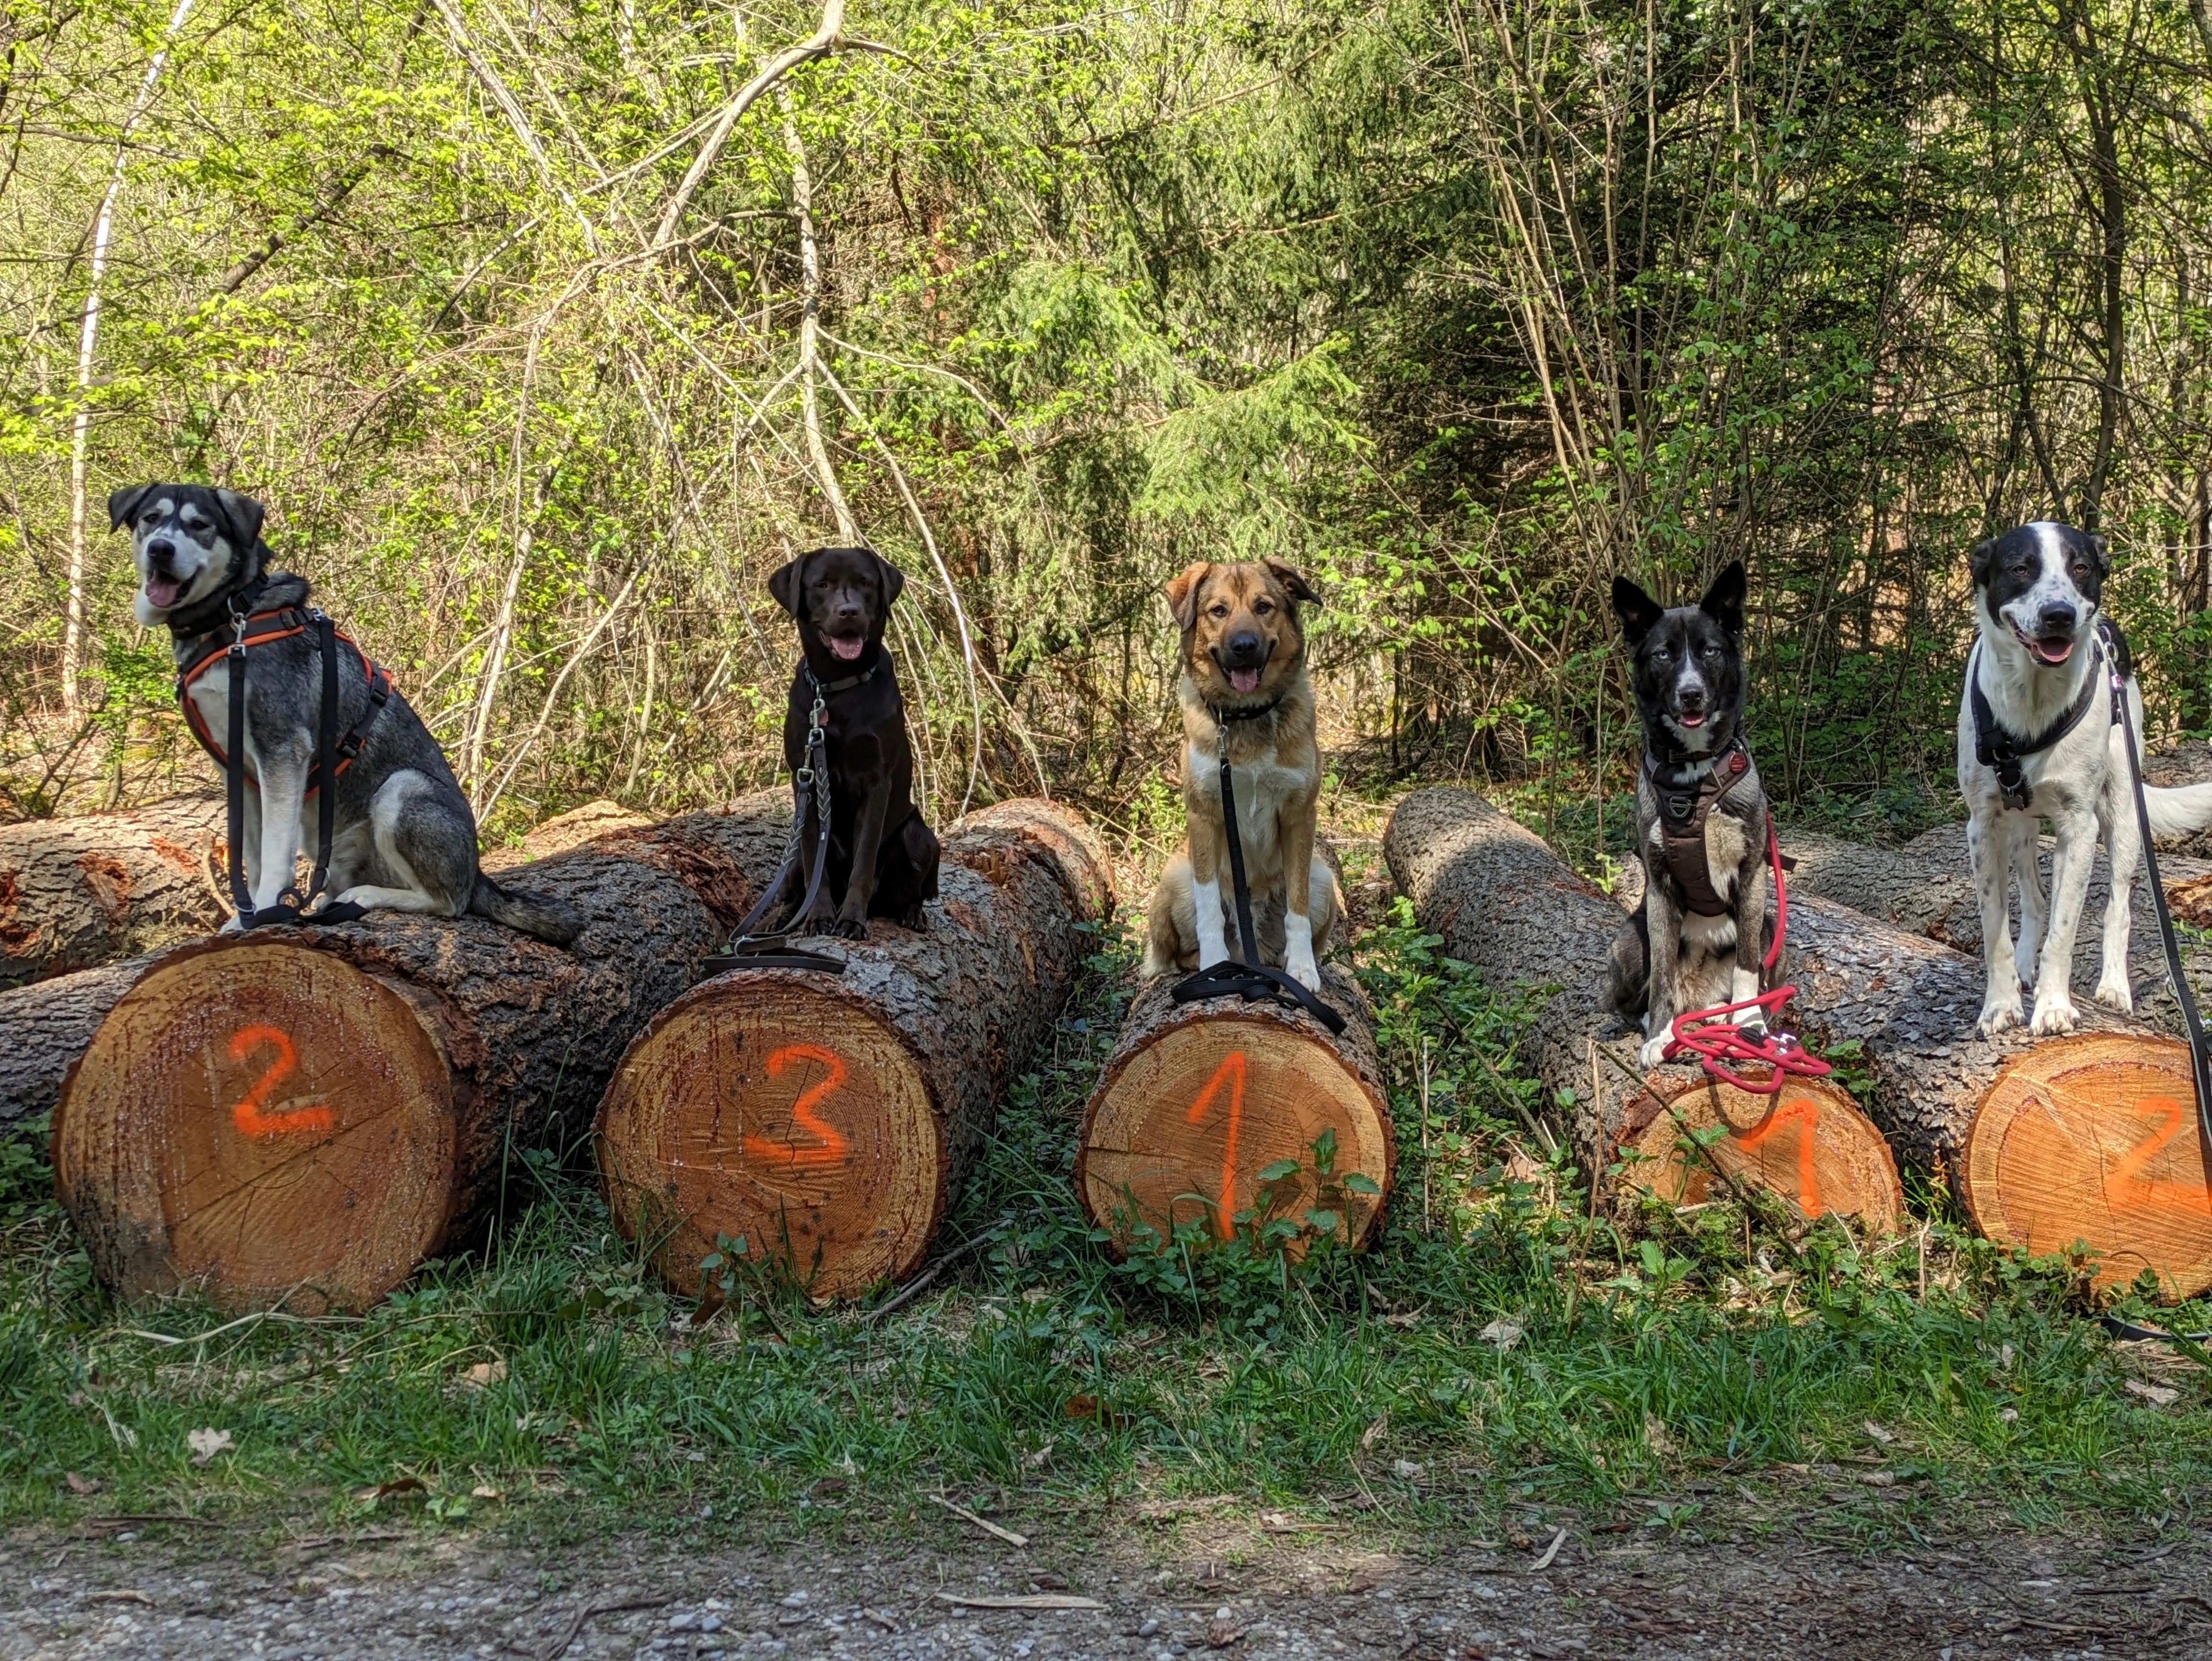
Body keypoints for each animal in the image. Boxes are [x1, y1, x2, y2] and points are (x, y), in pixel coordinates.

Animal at [113, 487, 584, 942]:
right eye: (151, 519)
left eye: (200, 525)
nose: (160, 550)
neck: (233, 619)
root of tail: (477, 873)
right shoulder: (238, 773)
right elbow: (254, 858)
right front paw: (244, 919)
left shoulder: (282, 749)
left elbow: (275, 854)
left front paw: (264, 914)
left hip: (402, 790)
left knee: (448, 902)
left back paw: (366, 896)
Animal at [1150, 566, 1336, 995]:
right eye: (1218, 611)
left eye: (1263, 607)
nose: (1244, 647)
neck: (1246, 714)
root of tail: (1250, 952)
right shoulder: (1205, 815)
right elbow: (1208, 910)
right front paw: (1213, 964)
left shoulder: (1300, 815)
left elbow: (1297, 907)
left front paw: (1302, 967)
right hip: (1175, 879)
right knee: (1180, 954)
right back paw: (1214, 963)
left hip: (1325, 879)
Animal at [1610, 566, 1778, 1070]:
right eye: (1664, 654)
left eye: (1709, 650)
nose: (1690, 695)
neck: (1694, 775)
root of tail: (1697, 998)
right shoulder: (1660, 888)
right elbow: (1663, 972)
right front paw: (1659, 1037)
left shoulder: (1752, 876)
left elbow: (1747, 968)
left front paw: (1750, 1026)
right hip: (1626, 941)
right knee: (1634, 999)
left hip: (1770, 928)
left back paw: (1724, 1017)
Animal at [1955, 526, 2212, 1035]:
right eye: (2020, 568)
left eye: (2081, 568)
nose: (2060, 614)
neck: (2033, 702)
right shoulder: (1983, 825)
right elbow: (1996, 927)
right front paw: (2001, 1004)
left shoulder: (2080, 826)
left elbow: (2065, 929)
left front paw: (2054, 1006)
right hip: (2022, 827)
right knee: (2034, 900)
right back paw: (2025, 965)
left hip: (2123, 816)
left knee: (2118, 909)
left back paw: (2114, 987)